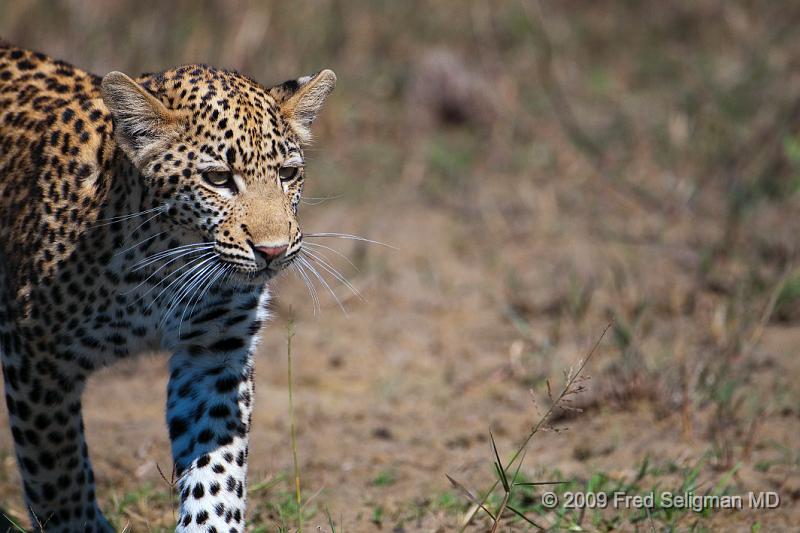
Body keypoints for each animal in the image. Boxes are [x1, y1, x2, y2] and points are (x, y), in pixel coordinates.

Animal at [0, 42, 336, 532]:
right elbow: (57, 472)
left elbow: (217, 468)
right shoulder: (35, 355)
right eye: (218, 179)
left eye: (288, 174)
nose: (273, 251)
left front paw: (210, 522)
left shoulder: (215, 351)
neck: (160, 268)